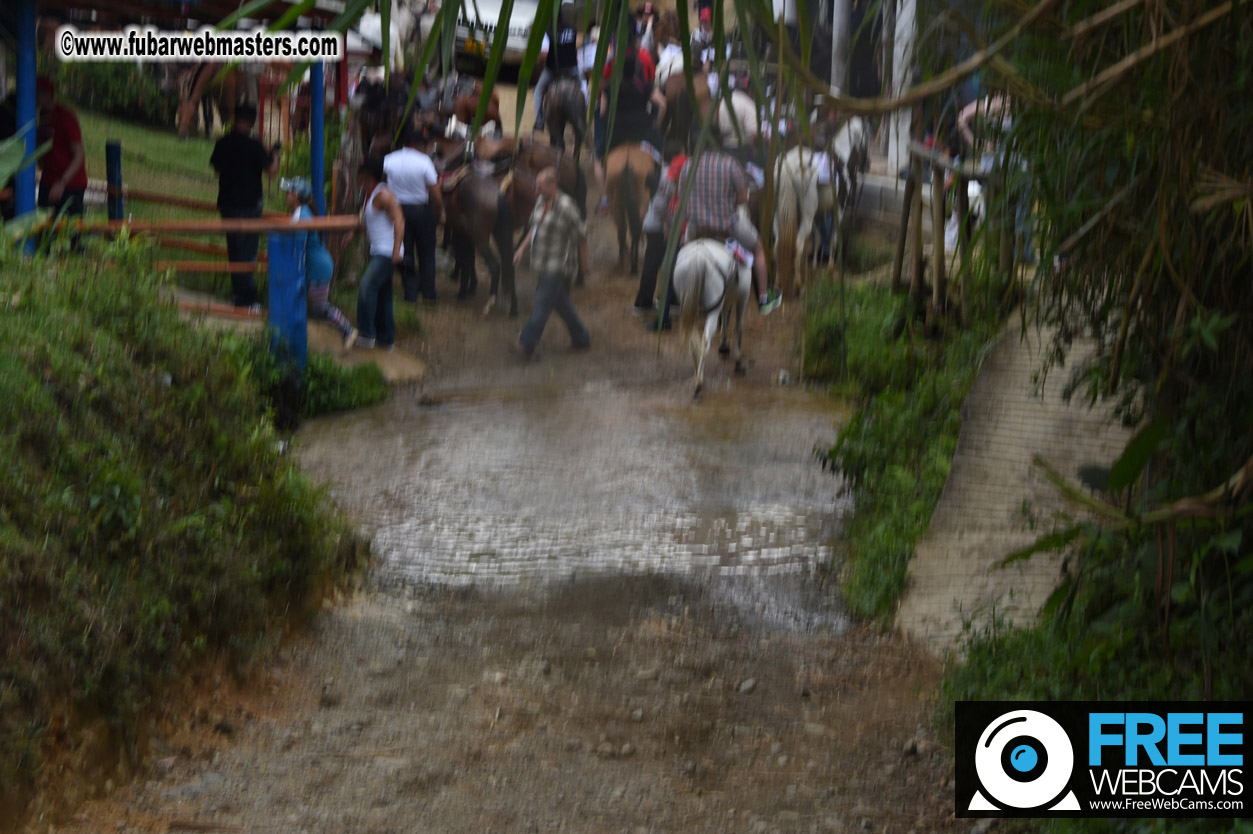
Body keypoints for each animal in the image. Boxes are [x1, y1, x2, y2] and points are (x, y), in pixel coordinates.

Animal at [676, 239, 751, 398]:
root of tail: (698, 257)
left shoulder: (726, 298)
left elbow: (725, 316)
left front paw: (724, 346)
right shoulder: (743, 298)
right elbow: (738, 328)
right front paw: (738, 363)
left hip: (689, 303)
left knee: (692, 336)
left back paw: (697, 373)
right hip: (712, 308)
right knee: (705, 339)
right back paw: (699, 384)